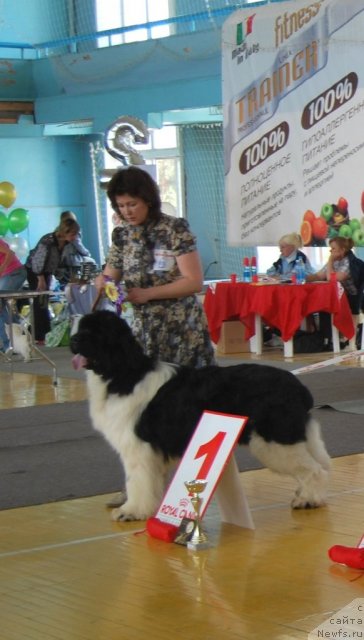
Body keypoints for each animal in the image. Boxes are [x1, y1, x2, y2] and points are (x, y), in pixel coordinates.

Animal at [70, 312, 330, 524]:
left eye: (93, 333)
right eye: (80, 328)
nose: (72, 341)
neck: (123, 373)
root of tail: (298, 386)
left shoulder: (138, 449)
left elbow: (137, 482)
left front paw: (131, 511)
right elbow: (151, 483)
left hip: (273, 441)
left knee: (313, 469)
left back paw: (308, 499)